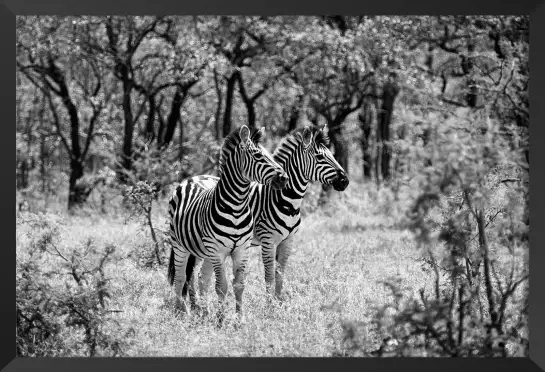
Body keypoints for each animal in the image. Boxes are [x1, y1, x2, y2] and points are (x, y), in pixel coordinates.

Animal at [167, 125, 288, 322]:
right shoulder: (218, 251)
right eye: (258, 156)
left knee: (201, 277)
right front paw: (221, 319)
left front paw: (239, 318)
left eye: (270, 155)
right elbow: (221, 286)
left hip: (205, 251)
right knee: (180, 277)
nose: (284, 178)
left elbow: (238, 285)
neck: (237, 206)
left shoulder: (241, 250)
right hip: (179, 245)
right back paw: (181, 311)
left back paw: (203, 311)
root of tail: (191, 178)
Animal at [187, 126, 348, 300]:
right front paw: (270, 303)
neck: (286, 201)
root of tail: (196, 177)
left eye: (332, 155)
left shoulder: (288, 241)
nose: (345, 181)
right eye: (320, 157)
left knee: (202, 276)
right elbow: (269, 276)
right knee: (191, 275)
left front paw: (278, 302)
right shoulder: (268, 240)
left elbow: (280, 275)